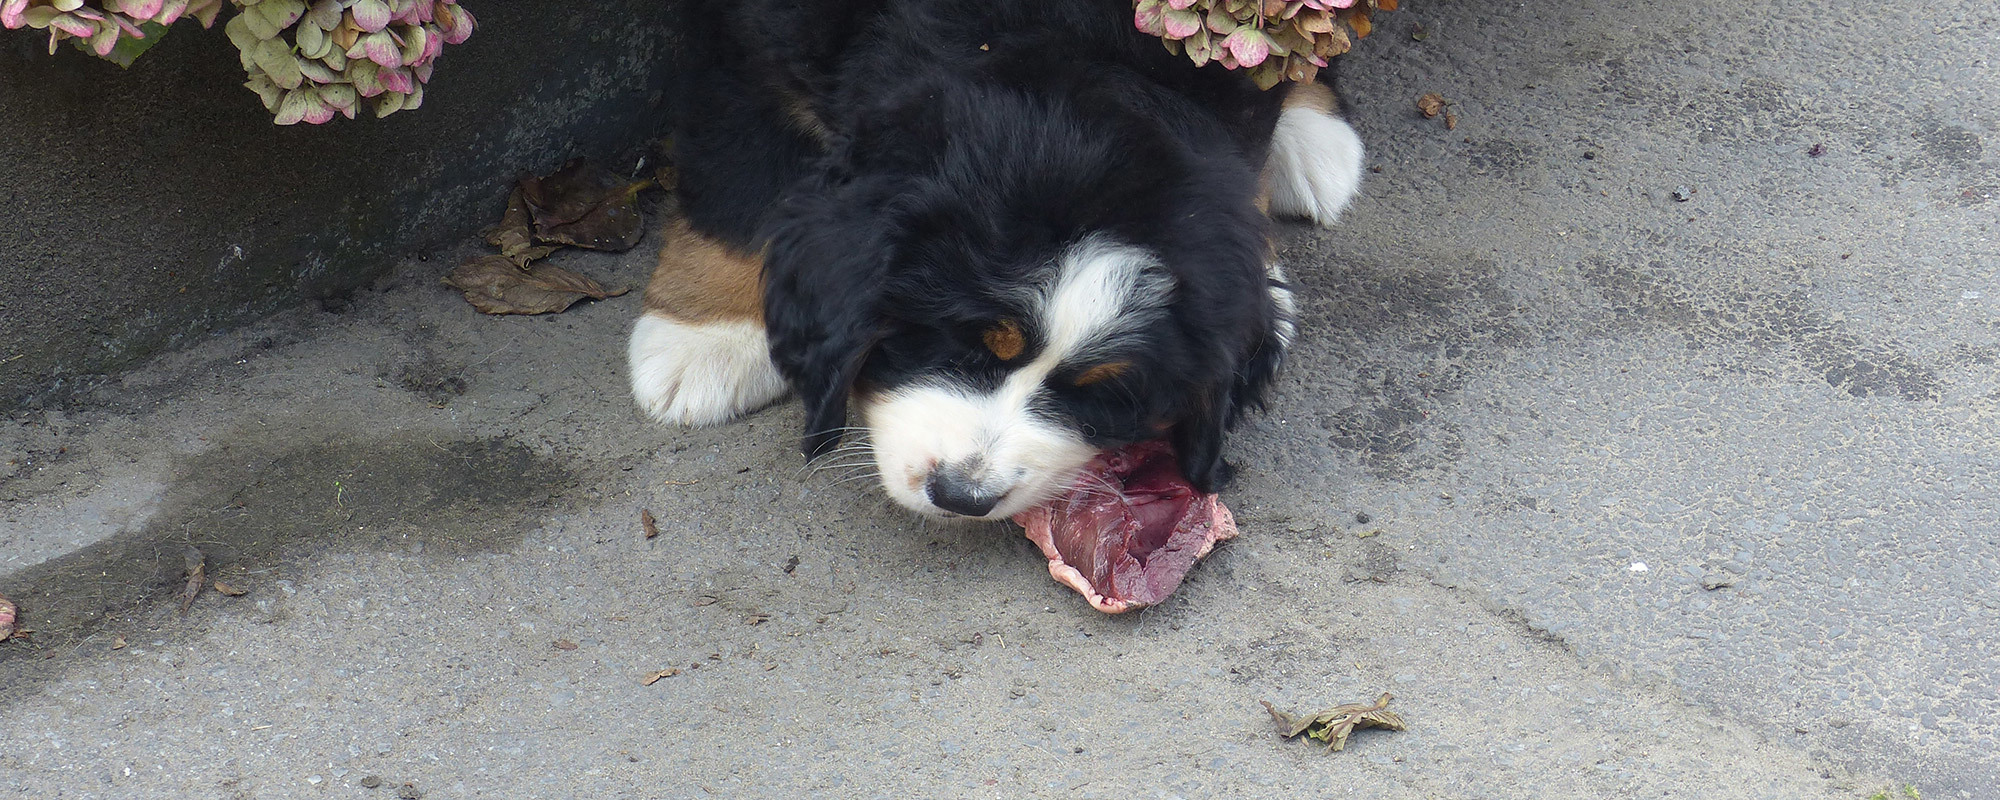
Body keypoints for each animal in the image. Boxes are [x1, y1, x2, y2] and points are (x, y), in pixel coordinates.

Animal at [632, 0, 1368, 520]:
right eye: (963, 347)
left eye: (1105, 396)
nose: (964, 495)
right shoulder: (759, 34)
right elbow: (742, 161)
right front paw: (707, 336)